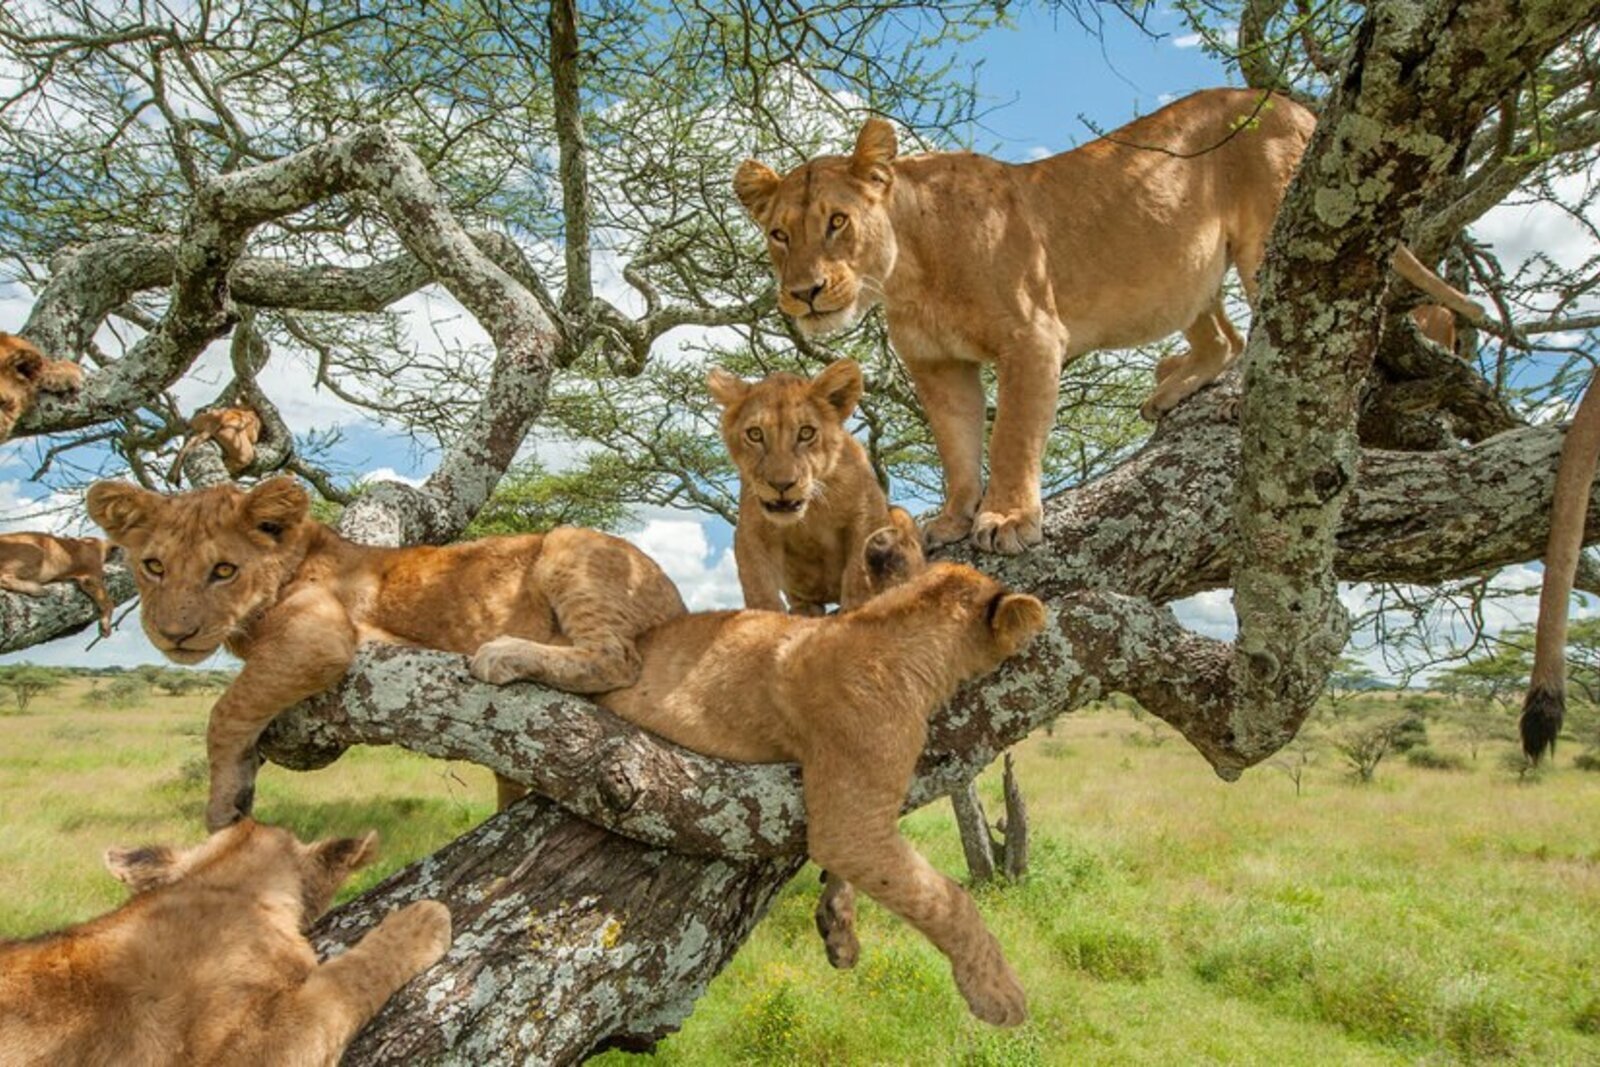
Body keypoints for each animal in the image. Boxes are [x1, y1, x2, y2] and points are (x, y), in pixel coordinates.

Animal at [86, 476, 687, 830]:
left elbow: (226, 710)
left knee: (615, 656)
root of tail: (677, 596)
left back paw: (503, 653)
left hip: (568, 541)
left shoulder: (322, 638)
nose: (174, 634)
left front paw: (222, 807)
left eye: (224, 570)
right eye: (154, 566)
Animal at [472, 544, 1047, 1026]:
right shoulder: (851, 817)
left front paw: (839, 924)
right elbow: (944, 899)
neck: (890, 627)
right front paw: (998, 993)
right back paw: (500, 654)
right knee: (596, 658)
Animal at [707, 357, 925, 614]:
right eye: (755, 434)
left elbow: (857, 574)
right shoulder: (752, 531)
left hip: (898, 515)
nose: (781, 484)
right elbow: (758, 587)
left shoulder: (867, 512)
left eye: (806, 432)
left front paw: (855, 610)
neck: (811, 510)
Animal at [733, 88, 1486, 554]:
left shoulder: (1032, 336)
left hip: (1277, 235)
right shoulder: (937, 365)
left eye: (837, 222)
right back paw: (1173, 388)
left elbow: (1011, 437)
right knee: (1225, 336)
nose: (803, 292)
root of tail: (1288, 103)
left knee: (1294, 328)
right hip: (1187, 276)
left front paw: (1006, 518)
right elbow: (956, 446)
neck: (909, 270)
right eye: (778, 234)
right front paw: (953, 515)